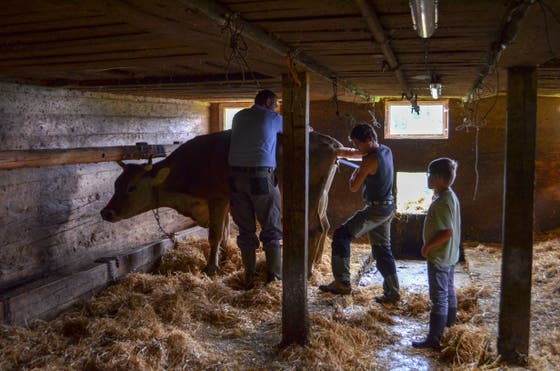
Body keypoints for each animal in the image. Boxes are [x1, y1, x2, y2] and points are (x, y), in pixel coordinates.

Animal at [100, 130, 342, 276]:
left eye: (132, 187)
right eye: (116, 184)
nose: (106, 212)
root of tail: (331, 143)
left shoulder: (217, 198)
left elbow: (215, 234)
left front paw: (211, 267)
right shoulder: (226, 200)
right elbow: (225, 233)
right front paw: (225, 260)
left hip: (309, 195)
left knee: (314, 228)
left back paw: (307, 271)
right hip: (322, 196)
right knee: (325, 225)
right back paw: (317, 262)